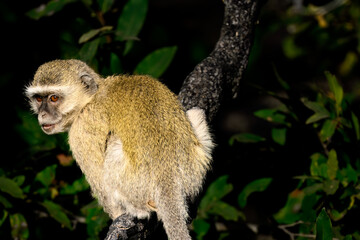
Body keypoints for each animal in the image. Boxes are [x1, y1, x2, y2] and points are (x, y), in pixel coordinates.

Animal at [26, 59, 214, 239]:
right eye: (38, 99)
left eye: (53, 98)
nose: (42, 115)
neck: (92, 97)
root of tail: (168, 176)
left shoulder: (81, 131)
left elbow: (103, 188)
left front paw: (118, 215)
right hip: (193, 175)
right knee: (196, 113)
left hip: (135, 185)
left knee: (113, 144)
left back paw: (139, 209)